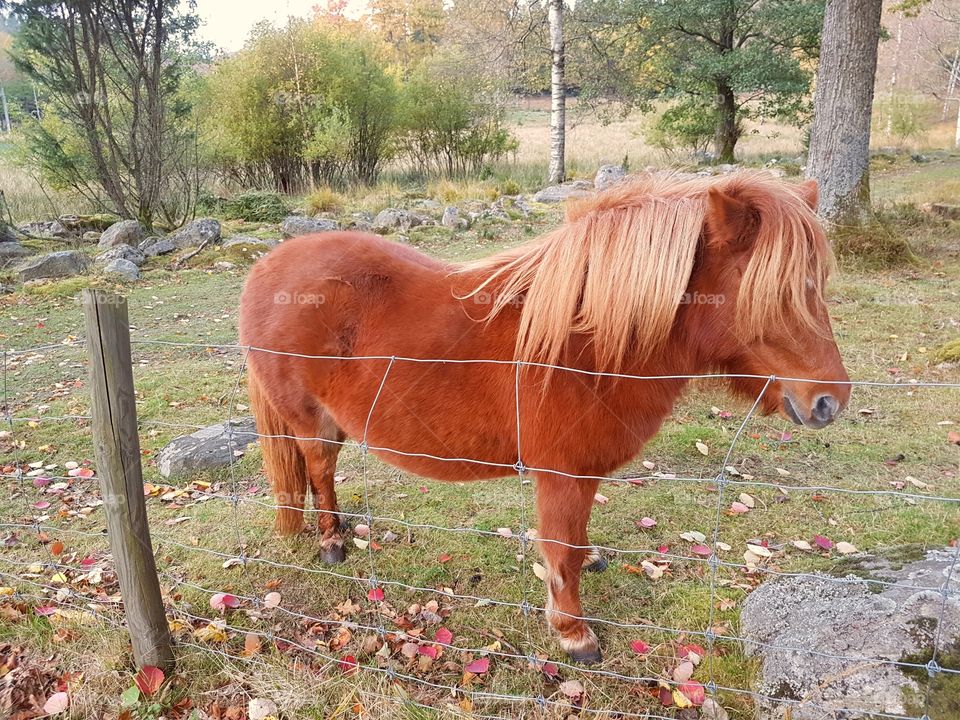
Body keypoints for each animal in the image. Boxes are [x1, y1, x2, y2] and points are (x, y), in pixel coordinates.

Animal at [238, 171, 850, 664]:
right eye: (773, 294)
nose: (830, 401)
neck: (588, 344)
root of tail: (267, 266)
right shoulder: (560, 475)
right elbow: (562, 552)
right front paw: (574, 633)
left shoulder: (584, 473)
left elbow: (577, 542)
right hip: (309, 420)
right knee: (319, 469)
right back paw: (331, 542)